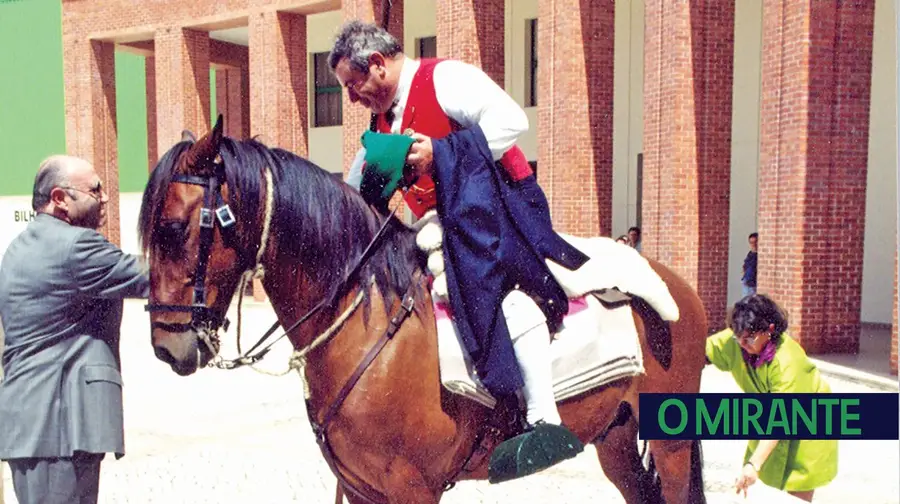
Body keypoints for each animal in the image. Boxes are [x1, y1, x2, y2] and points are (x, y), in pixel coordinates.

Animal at [139, 116, 712, 502]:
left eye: (173, 227)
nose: (166, 347)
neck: (368, 325)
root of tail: (676, 283)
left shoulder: (411, 490)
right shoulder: (361, 489)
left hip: (671, 444)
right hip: (616, 438)